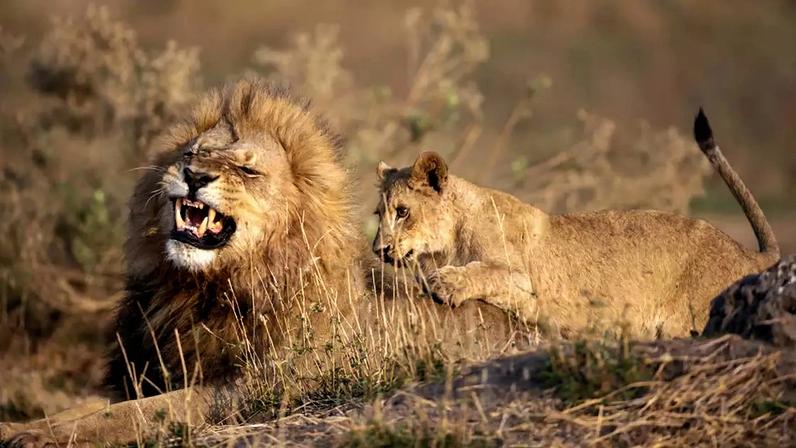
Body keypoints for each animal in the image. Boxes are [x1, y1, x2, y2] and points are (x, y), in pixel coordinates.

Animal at [1, 79, 516, 446]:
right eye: (191, 153)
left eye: (247, 170)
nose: (193, 174)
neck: (203, 288)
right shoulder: (139, 374)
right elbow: (90, 406)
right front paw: (20, 427)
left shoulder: (252, 389)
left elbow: (142, 413)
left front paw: (42, 436)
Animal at [372, 109, 780, 339]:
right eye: (380, 214)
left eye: (403, 211)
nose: (379, 249)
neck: (447, 242)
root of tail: (750, 255)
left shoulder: (524, 278)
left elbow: (485, 272)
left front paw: (448, 283)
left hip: (688, 319)